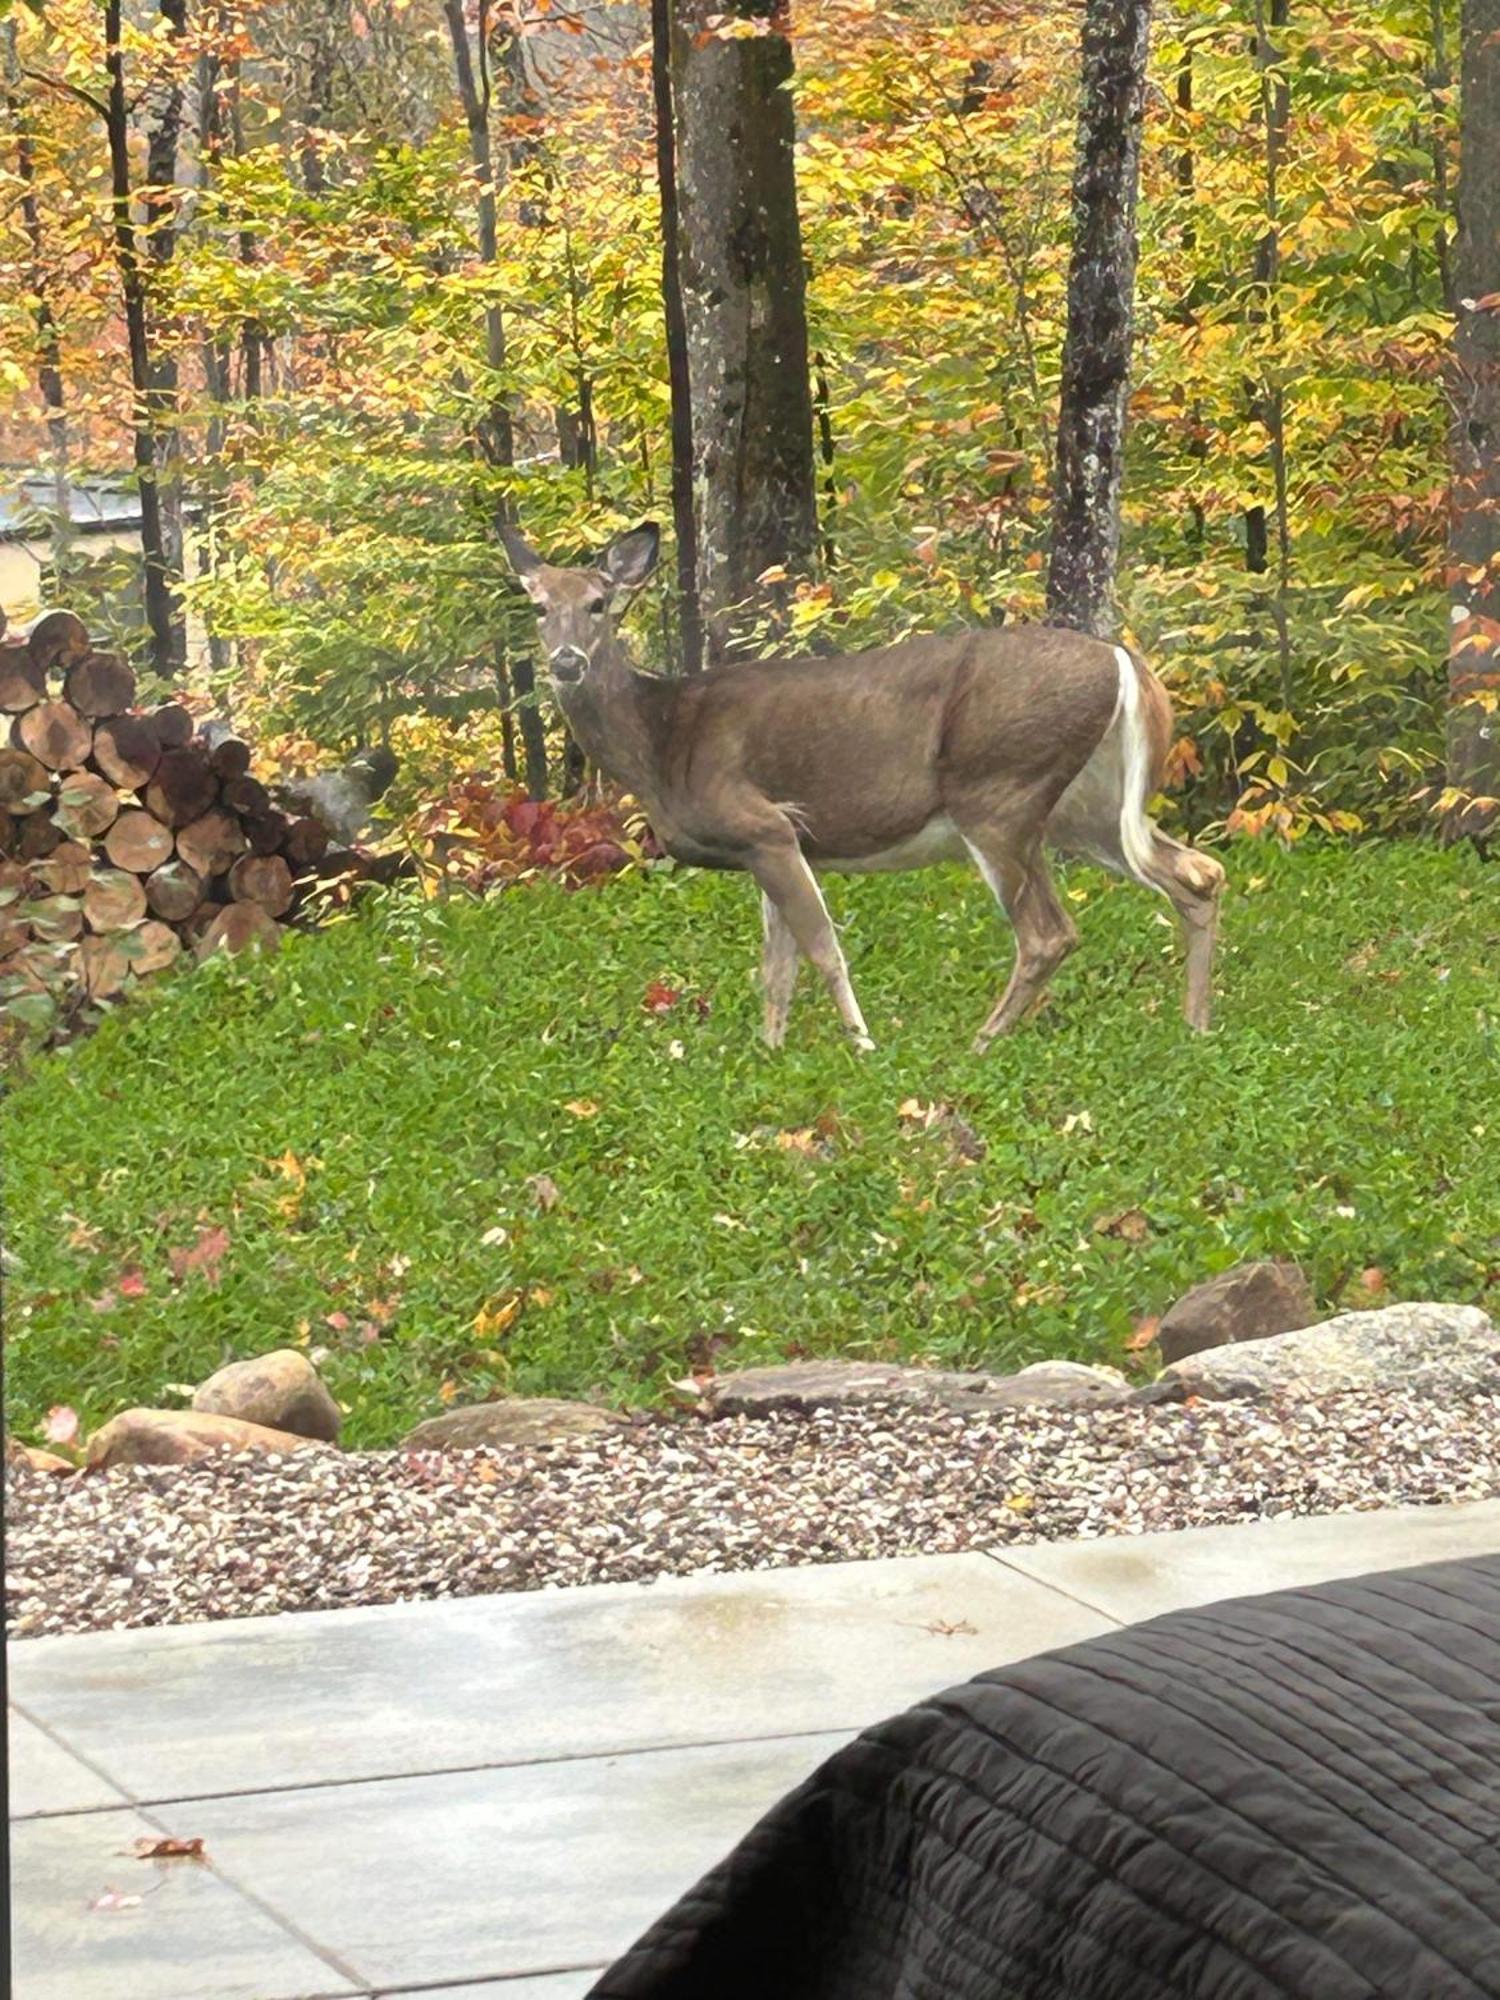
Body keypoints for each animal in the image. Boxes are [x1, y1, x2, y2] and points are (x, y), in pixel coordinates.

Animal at [500, 516, 1224, 1056]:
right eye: (538, 607)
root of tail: (1121, 658)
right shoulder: (760, 847)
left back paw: (981, 1042)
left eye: (599, 604)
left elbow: (822, 949)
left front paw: (862, 1042)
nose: (566, 661)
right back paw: (1193, 1026)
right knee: (1197, 873)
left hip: (999, 790)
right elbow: (776, 967)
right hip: (1084, 805)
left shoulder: (765, 823)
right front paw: (772, 1050)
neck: (661, 741)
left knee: (1050, 932)